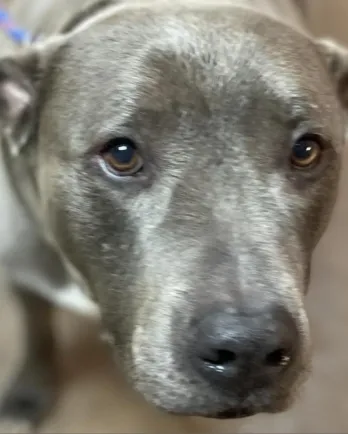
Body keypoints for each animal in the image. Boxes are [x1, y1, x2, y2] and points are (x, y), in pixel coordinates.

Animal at [0, 0, 346, 428]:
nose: (249, 347)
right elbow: (36, 328)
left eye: (306, 150)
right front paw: (28, 392)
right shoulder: (23, 264)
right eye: (121, 154)